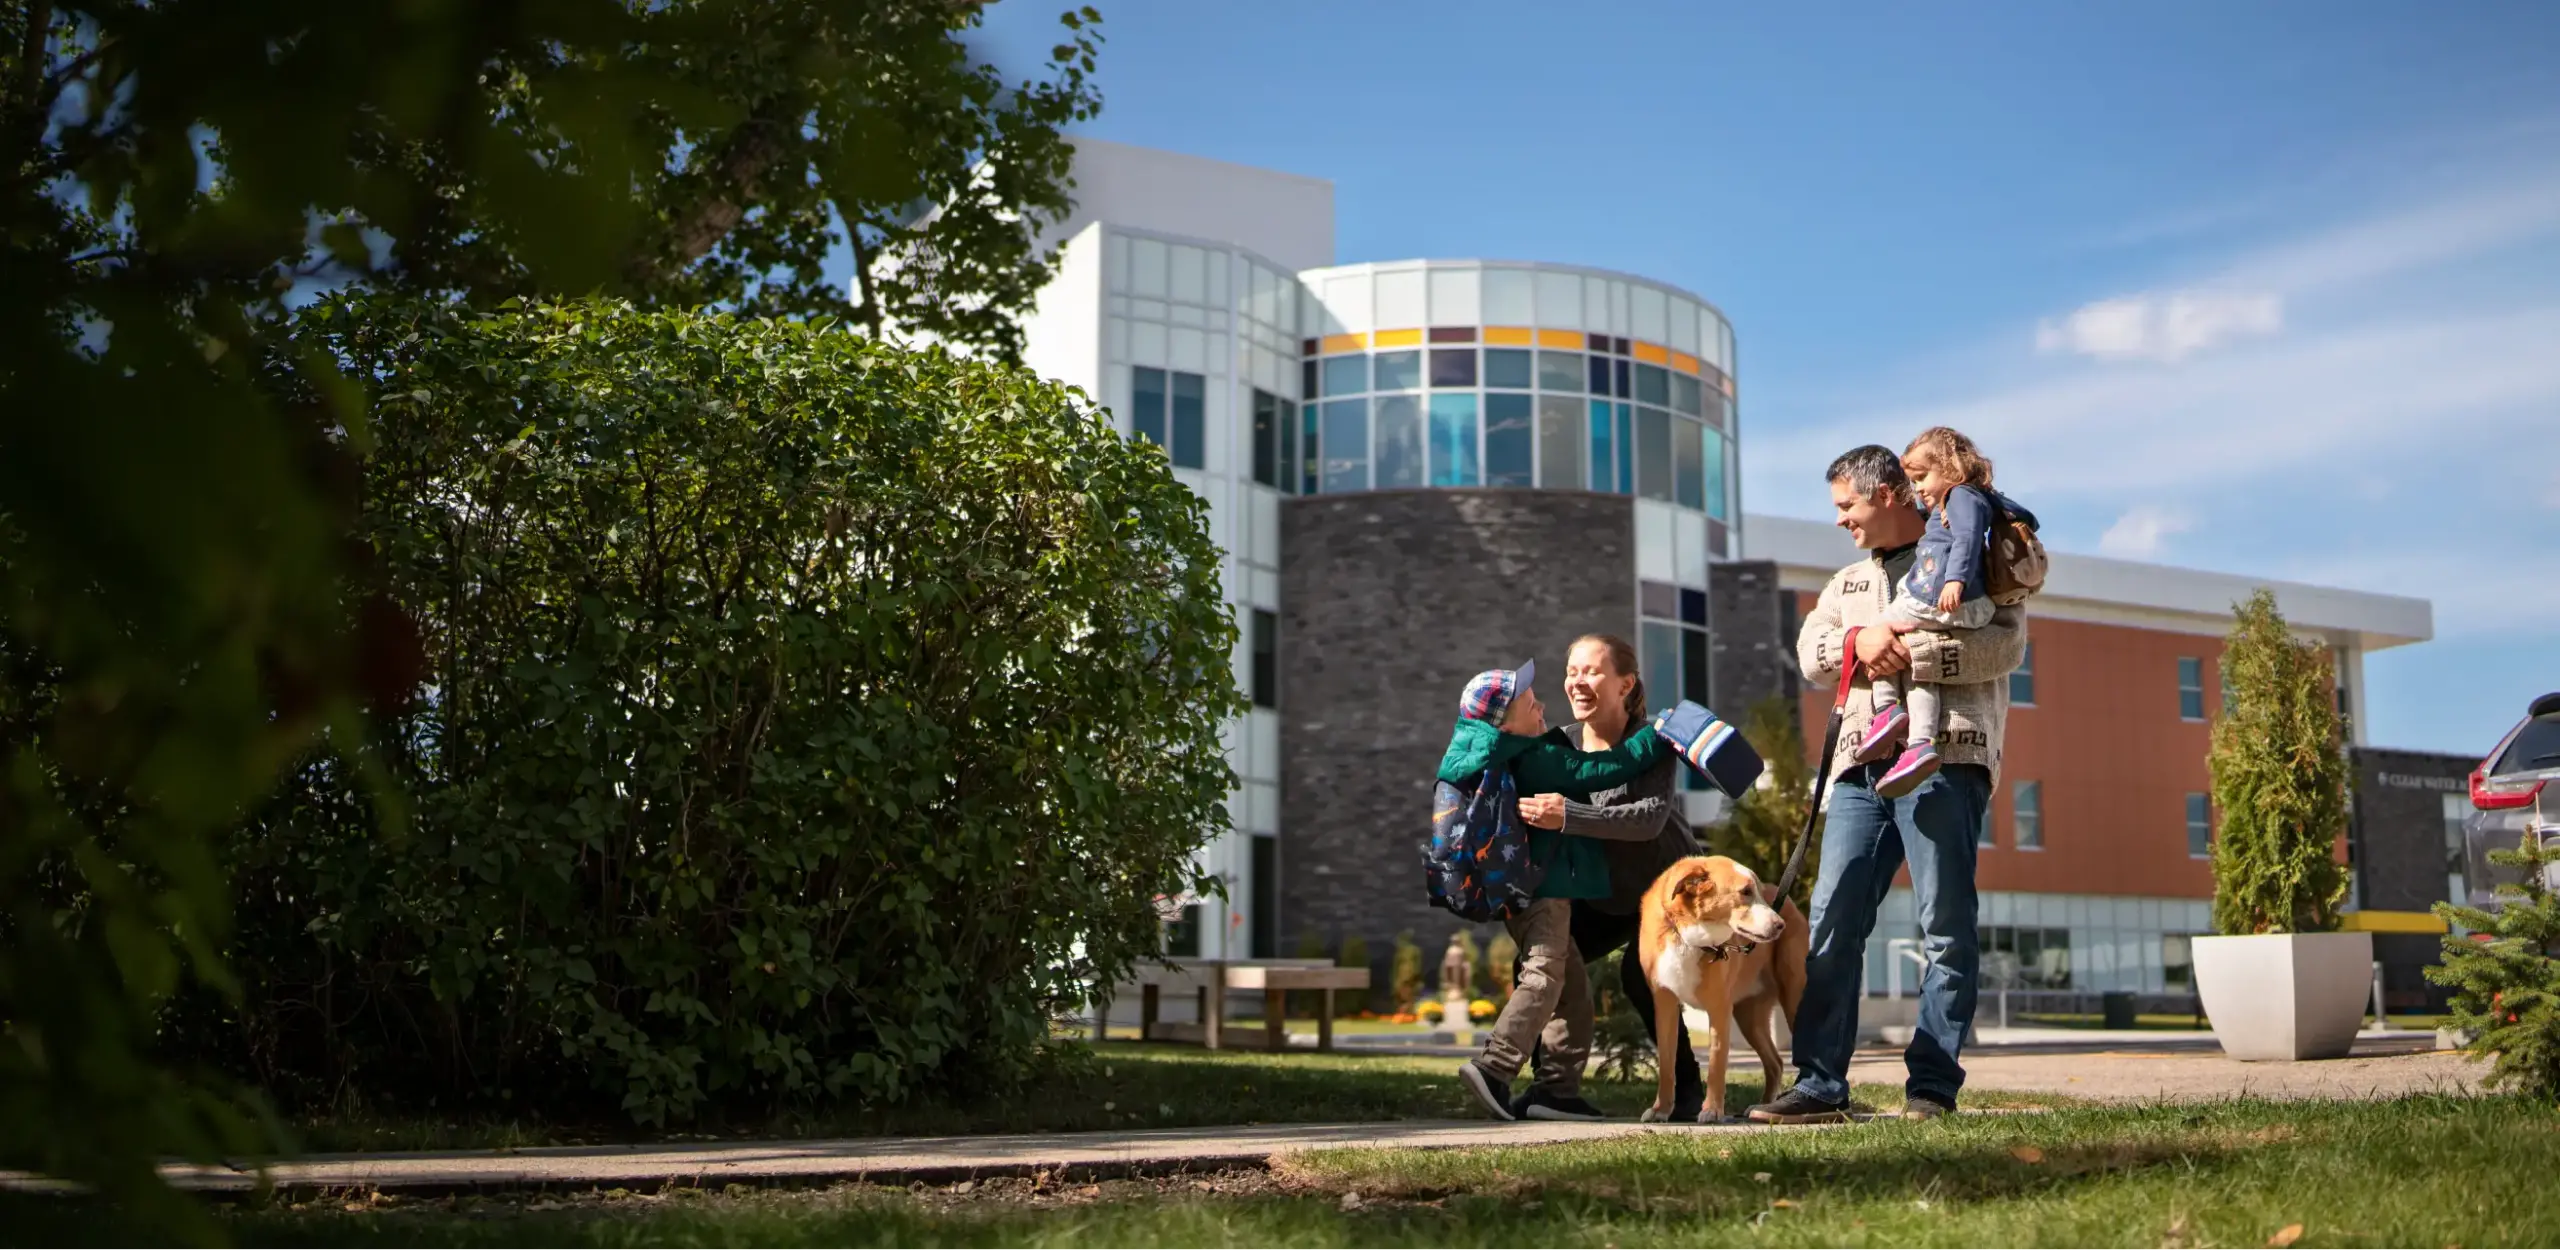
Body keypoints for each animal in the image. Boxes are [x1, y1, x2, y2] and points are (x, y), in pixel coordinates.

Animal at [1628, 855, 1812, 1116]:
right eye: (1745, 892)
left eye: (1757, 892)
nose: (1780, 925)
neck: (1688, 936)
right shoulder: (1664, 1005)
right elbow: (1666, 1062)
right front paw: (1661, 1109)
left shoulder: (1719, 1008)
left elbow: (1716, 1061)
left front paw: (1712, 1110)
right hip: (1749, 1017)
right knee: (1775, 1062)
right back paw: (1765, 1105)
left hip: (1793, 998)